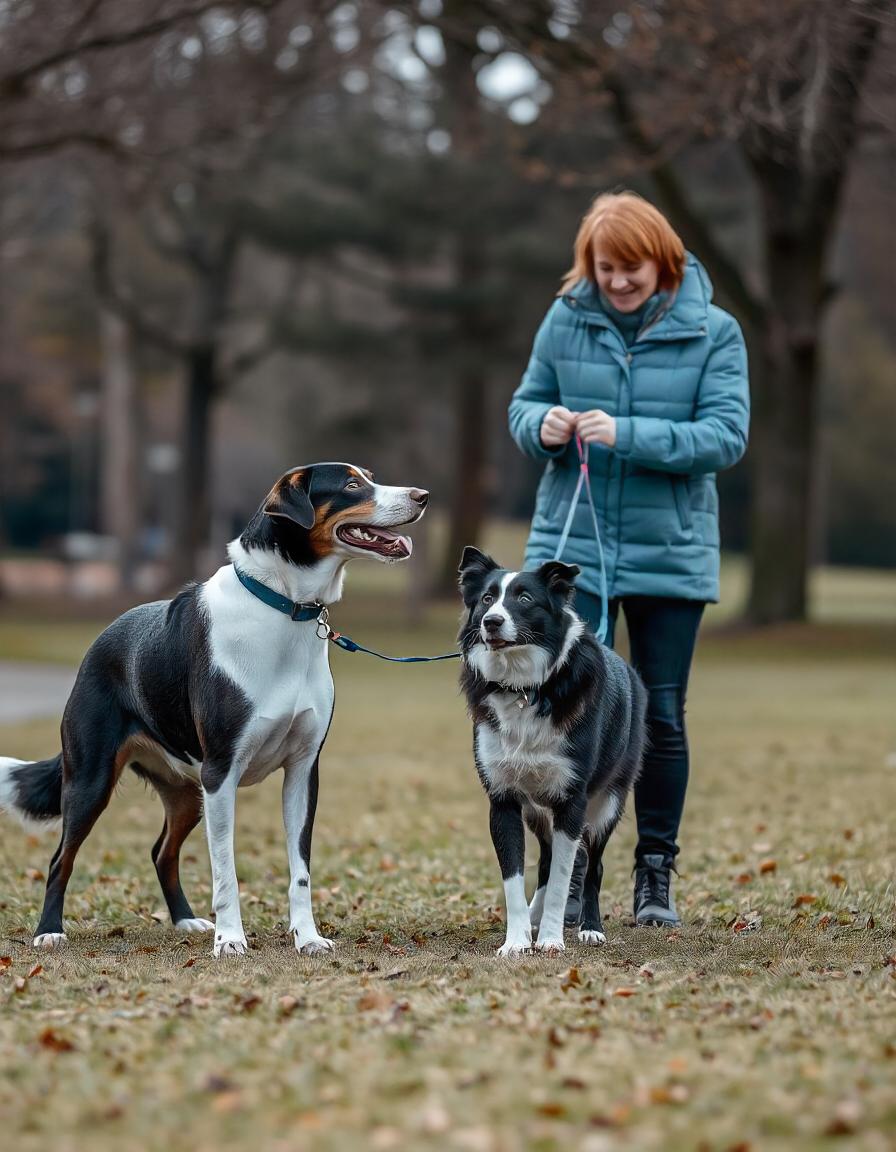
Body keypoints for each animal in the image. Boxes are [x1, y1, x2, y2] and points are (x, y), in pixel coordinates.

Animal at [0, 463, 426, 958]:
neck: (285, 607)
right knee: (60, 859)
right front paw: (230, 940)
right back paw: (49, 931)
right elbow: (225, 872)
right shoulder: (221, 771)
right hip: (91, 780)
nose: (422, 496)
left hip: (186, 792)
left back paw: (184, 920)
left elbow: (299, 872)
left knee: (161, 851)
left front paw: (307, 938)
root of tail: (100, 641)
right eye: (352, 485)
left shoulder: (303, 772)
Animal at [460, 548, 640, 953]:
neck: (525, 688)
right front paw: (516, 941)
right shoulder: (504, 799)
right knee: (545, 861)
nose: (492, 622)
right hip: (537, 808)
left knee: (592, 866)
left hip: (607, 803)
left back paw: (590, 927)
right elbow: (515, 876)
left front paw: (552, 940)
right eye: (487, 599)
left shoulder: (572, 801)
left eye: (525, 599)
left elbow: (563, 876)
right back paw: (535, 915)